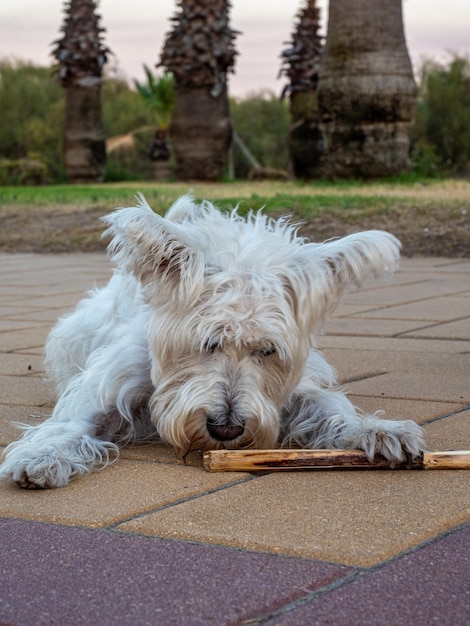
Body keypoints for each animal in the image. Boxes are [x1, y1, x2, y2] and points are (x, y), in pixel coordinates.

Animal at [0, 193, 426, 486]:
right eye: (207, 343)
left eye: (267, 350)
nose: (226, 429)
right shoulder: (108, 387)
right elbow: (74, 424)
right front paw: (43, 456)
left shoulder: (295, 392)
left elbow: (330, 409)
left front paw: (379, 431)